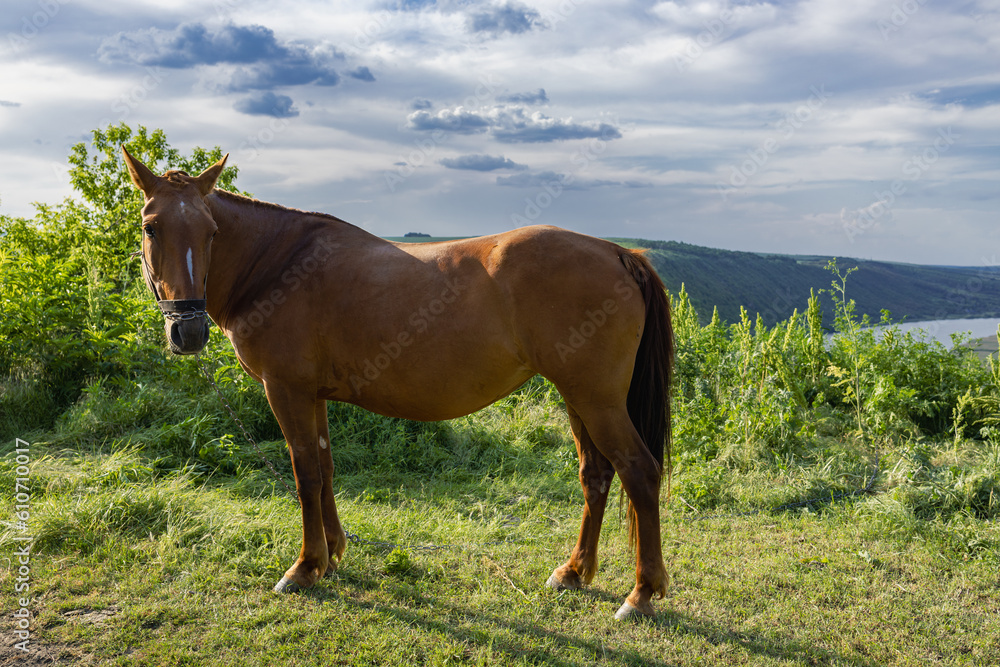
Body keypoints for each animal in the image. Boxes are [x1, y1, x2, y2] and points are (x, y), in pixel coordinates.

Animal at [122, 147, 674, 620]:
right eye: (151, 227)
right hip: (578, 400)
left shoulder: (287, 391)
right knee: (596, 476)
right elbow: (325, 467)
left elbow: (305, 475)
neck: (278, 264)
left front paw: (304, 568)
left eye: (211, 231)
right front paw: (332, 554)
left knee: (640, 472)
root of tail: (616, 252)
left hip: (597, 401)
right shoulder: (313, 396)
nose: (188, 330)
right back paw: (573, 572)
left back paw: (642, 595)